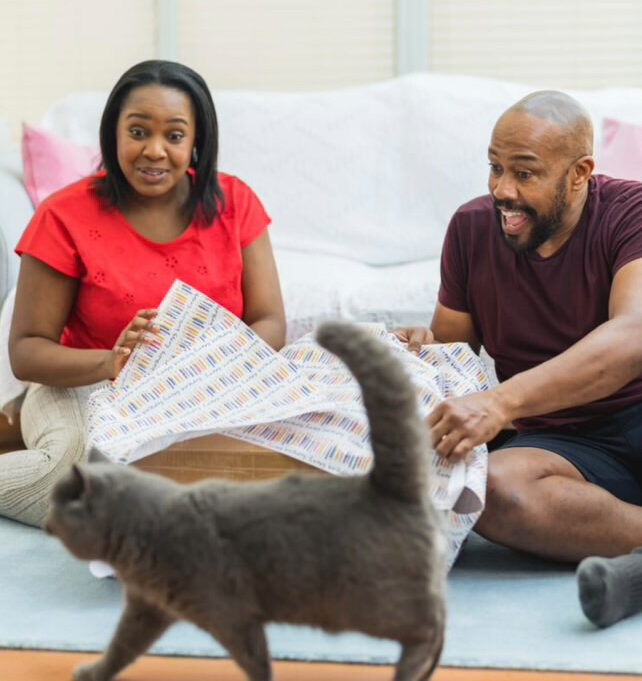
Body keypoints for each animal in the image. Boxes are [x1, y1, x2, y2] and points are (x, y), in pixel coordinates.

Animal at [47, 321, 447, 681]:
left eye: (58, 508)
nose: (48, 524)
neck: (146, 529)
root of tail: (384, 485)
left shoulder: (229, 616)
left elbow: (254, 660)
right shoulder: (147, 610)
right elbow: (121, 647)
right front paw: (92, 673)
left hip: (368, 602)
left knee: (431, 626)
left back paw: (412, 670)